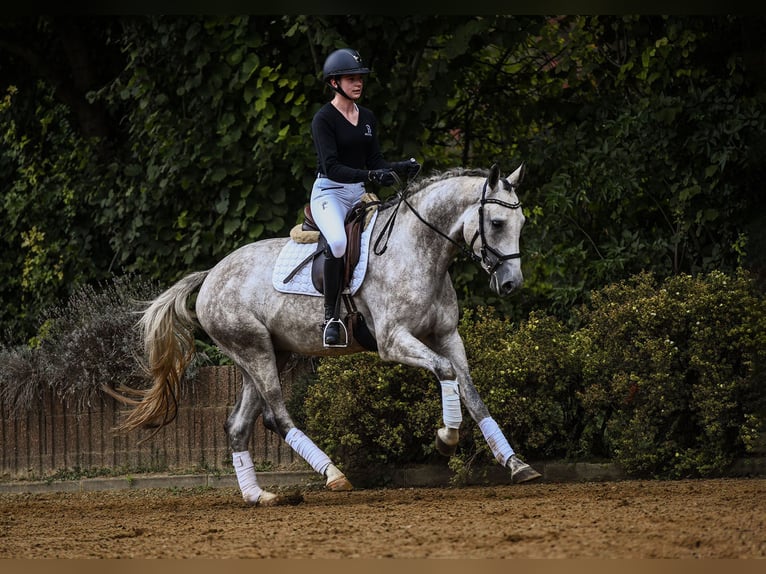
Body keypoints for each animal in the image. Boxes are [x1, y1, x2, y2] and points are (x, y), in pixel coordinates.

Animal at [115, 163, 544, 508]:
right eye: (497, 223)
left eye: (522, 224)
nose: (511, 285)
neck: (420, 250)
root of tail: (210, 276)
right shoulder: (393, 341)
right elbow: (445, 372)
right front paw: (446, 437)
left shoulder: (447, 336)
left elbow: (471, 392)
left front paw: (516, 464)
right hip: (255, 352)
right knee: (277, 415)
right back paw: (333, 474)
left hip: (266, 354)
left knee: (238, 425)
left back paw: (259, 496)